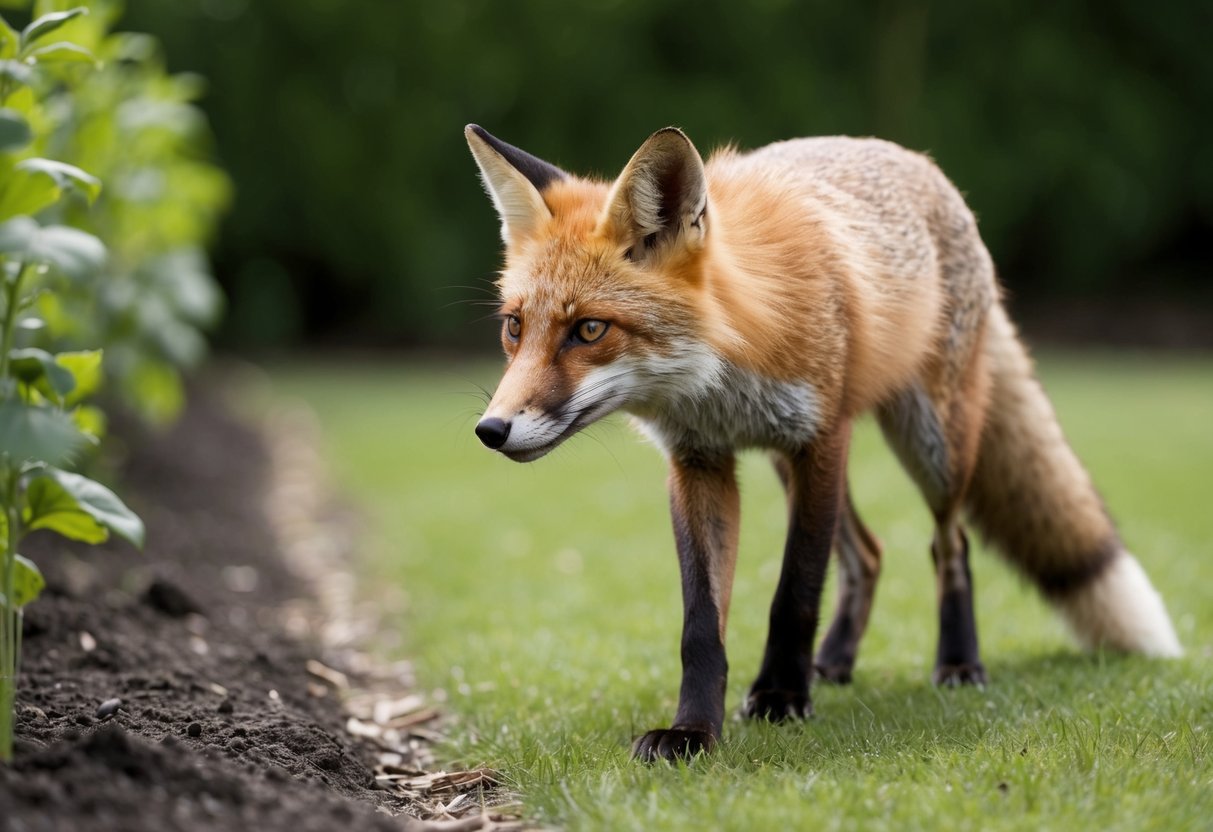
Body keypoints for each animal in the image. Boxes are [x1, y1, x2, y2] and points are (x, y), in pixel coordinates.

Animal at [464, 123, 1182, 762]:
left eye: (589, 329)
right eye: (514, 328)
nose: (490, 431)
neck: (723, 371)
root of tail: (919, 162)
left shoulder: (821, 441)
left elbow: (795, 591)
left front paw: (781, 697)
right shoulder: (699, 462)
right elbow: (701, 625)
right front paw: (694, 731)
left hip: (931, 444)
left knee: (949, 545)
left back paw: (956, 662)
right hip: (792, 464)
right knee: (868, 552)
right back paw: (834, 661)